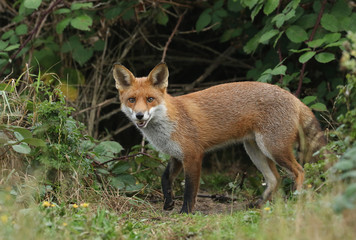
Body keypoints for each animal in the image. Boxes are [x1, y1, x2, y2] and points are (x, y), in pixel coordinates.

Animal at [112, 62, 326, 214]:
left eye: (150, 99)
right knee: (275, 179)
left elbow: (190, 190)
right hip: (255, 150)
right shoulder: (177, 155)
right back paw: (258, 206)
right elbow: (165, 179)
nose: (139, 115)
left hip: (273, 148)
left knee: (300, 171)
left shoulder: (193, 155)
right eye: (131, 100)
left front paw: (185, 212)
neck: (169, 121)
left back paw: (296, 199)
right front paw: (168, 203)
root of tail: (294, 98)